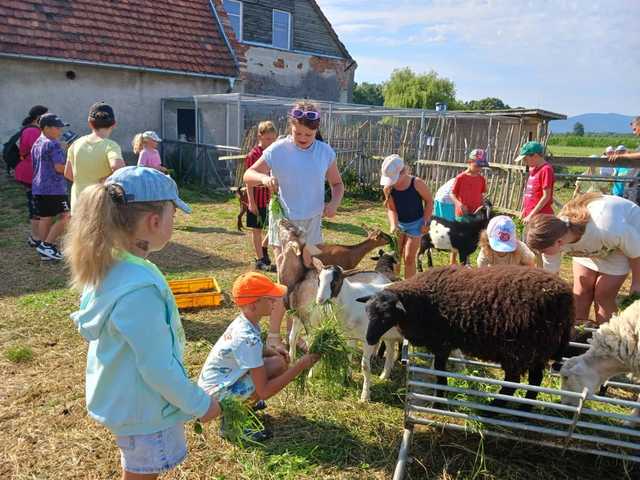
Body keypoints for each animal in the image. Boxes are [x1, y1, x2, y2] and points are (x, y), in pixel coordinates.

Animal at [360, 264, 576, 404]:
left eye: (387, 315)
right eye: (367, 311)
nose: (369, 339)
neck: (422, 301)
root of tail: (567, 300)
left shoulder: (442, 343)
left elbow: (440, 370)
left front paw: (440, 396)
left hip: (520, 350)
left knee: (512, 383)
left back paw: (493, 408)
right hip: (539, 349)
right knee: (535, 380)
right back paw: (525, 410)